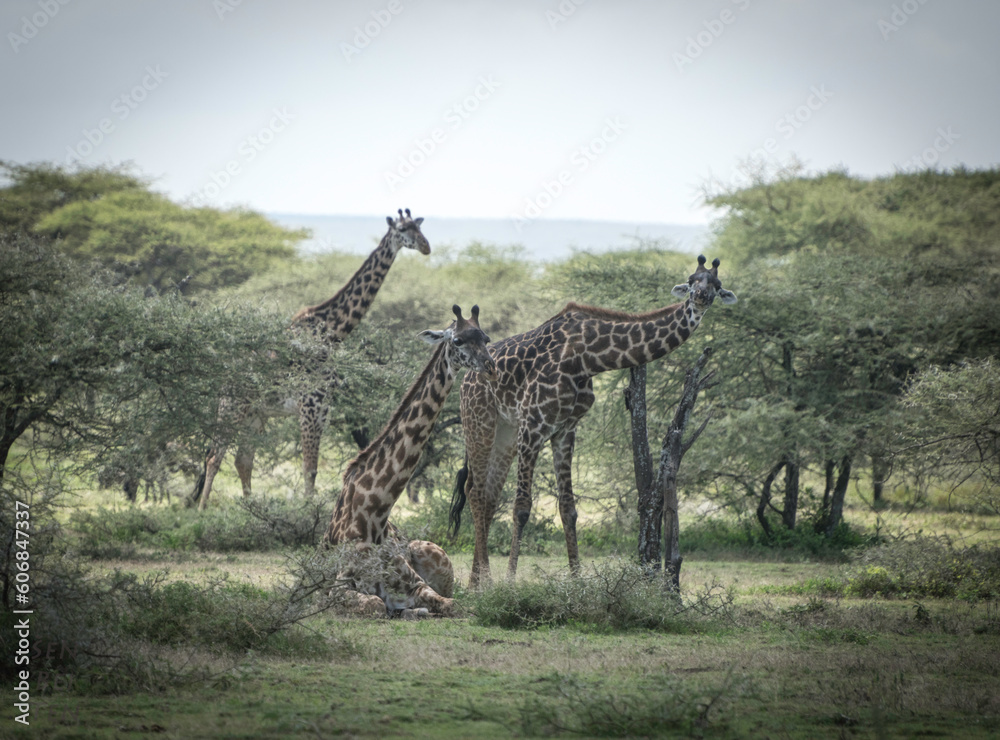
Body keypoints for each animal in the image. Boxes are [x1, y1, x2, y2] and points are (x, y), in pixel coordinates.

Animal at [194, 210, 430, 510]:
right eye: (402, 229)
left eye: (419, 228)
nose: (426, 246)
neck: (333, 331)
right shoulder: (308, 408)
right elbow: (309, 468)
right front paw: (307, 511)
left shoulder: (323, 410)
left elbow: (313, 469)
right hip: (233, 404)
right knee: (215, 456)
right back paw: (202, 511)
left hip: (256, 413)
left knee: (242, 459)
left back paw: (250, 508)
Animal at [323, 304, 496, 615]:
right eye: (457, 341)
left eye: (486, 338)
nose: (490, 367)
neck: (375, 515)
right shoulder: (335, 590)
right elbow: (375, 604)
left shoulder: (416, 585)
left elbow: (452, 605)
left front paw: (417, 610)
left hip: (433, 553)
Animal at [451, 255, 737, 586]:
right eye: (692, 280)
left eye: (716, 284)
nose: (700, 297)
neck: (587, 356)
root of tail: (467, 378)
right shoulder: (533, 424)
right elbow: (522, 507)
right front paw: (510, 581)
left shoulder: (564, 429)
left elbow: (568, 509)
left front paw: (576, 580)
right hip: (479, 420)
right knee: (475, 491)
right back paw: (482, 581)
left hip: (506, 431)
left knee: (488, 495)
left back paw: (476, 582)